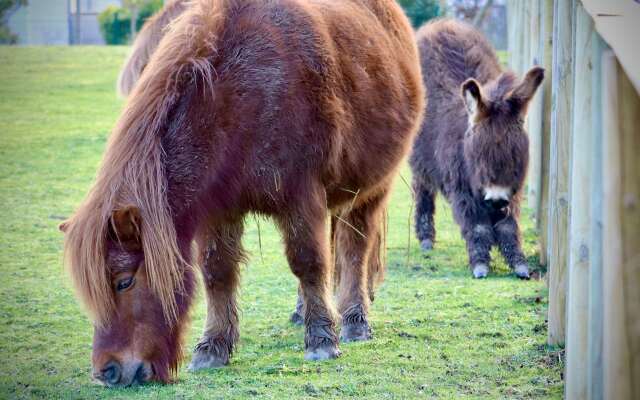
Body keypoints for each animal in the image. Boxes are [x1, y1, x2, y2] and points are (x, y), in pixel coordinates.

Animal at [61, 0, 424, 388]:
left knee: (354, 251)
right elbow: (217, 272)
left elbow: (309, 262)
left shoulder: (301, 198)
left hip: (369, 192)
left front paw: (322, 340)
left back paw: (354, 321)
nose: (107, 371)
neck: (241, 98)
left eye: (124, 282)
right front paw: (213, 348)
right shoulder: (220, 210)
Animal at [412, 18, 544, 280]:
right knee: (423, 190)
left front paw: (519, 263)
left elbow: (508, 226)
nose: (496, 200)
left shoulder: (512, 192)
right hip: (420, 161)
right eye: (479, 155)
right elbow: (479, 227)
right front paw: (480, 263)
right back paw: (426, 239)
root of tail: (440, 24)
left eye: (516, 156)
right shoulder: (463, 189)